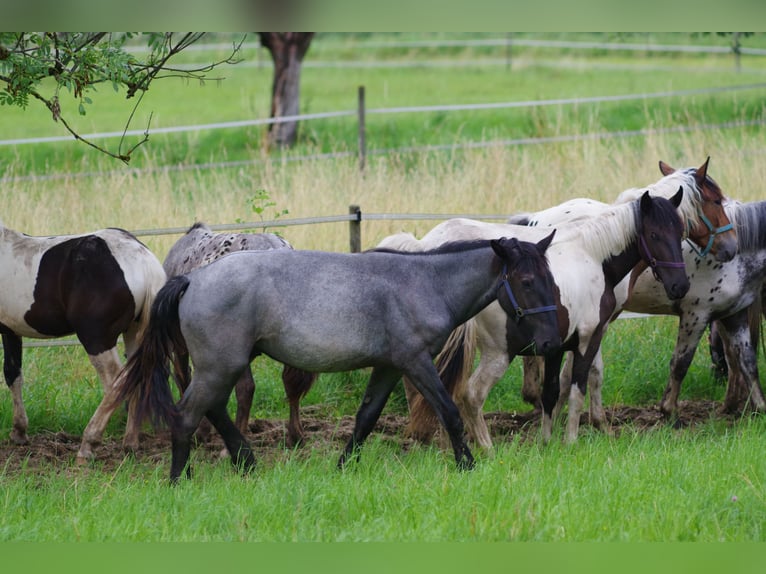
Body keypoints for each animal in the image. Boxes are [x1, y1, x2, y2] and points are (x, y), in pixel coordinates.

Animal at [0, 220, 166, 464]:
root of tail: (145, 262)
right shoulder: (11, 330)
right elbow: (13, 374)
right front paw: (19, 432)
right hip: (134, 334)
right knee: (137, 376)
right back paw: (130, 443)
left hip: (96, 338)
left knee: (116, 381)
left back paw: (88, 444)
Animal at [111, 236, 560, 484]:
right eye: (525, 281)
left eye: (551, 279)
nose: (550, 341)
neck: (423, 284)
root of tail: (191, 280)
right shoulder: (415, 362)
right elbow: (449, 411)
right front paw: (467, 466)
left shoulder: (389, 366)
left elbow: (366, 417)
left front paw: (343, 467)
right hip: (219, 366)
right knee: (188, 414)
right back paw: (179, 480)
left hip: (224, 366)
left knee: (213, 409)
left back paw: (246, 464)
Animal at [392, 191, 688, 448]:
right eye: (654, 234)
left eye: (681, 232)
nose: (680, 285)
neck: (591, 256)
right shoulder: (589, 338)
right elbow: (579, 387)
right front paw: (571, 441)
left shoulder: (557, 346)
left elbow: (552, 392)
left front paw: (546, 441)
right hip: (498, 353)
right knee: (471, 394)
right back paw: (485, 447)